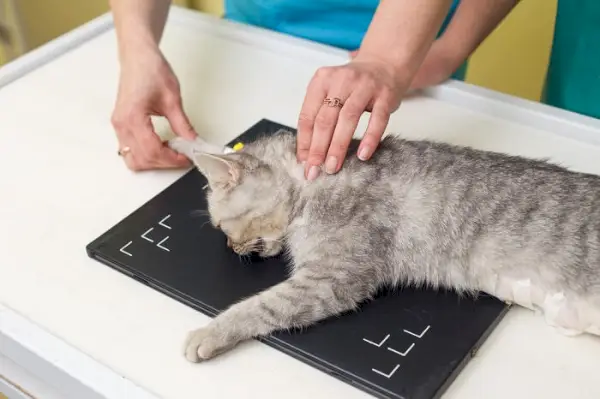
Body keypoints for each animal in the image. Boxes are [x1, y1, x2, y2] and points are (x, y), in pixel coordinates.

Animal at [168, 130, 600, 364]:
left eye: (221, 225)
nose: (230, 246)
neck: (313, 182)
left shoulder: (331, 279)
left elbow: (259, 306)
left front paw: (208, 333)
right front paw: (181, 139)